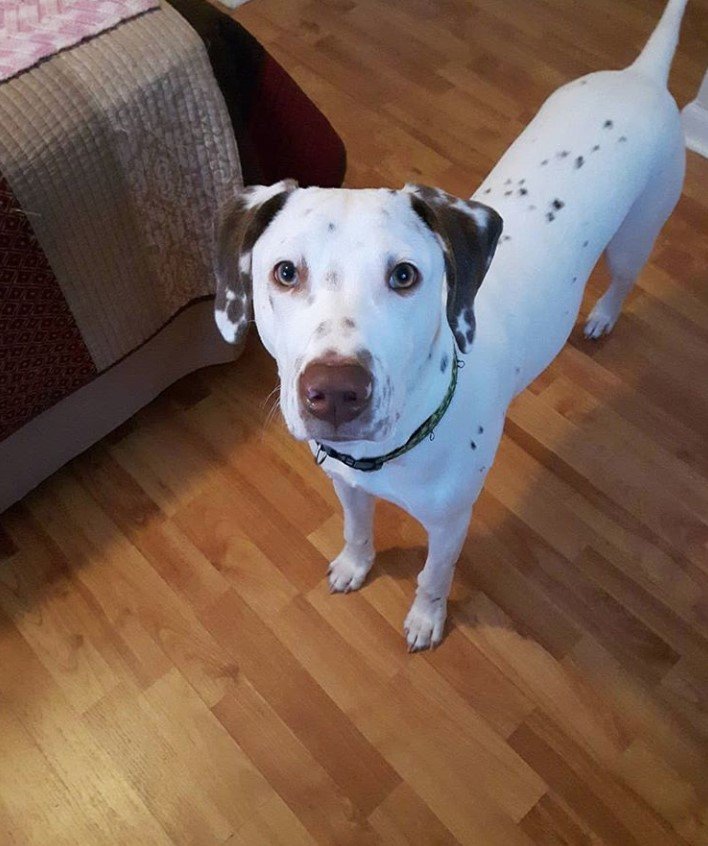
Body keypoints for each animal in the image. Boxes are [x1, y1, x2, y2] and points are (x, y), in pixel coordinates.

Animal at [212, 0, 684, 656]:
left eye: (405, 275)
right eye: (284, 272)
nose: (334, 391)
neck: (387, 455)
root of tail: (641, 76)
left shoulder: (450, 522)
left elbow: (434, 576)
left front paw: (425, 619)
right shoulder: (347, 485)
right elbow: (357, 531)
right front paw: (355, 565)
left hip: (637, 233)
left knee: (623, 278)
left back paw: (603, 316)